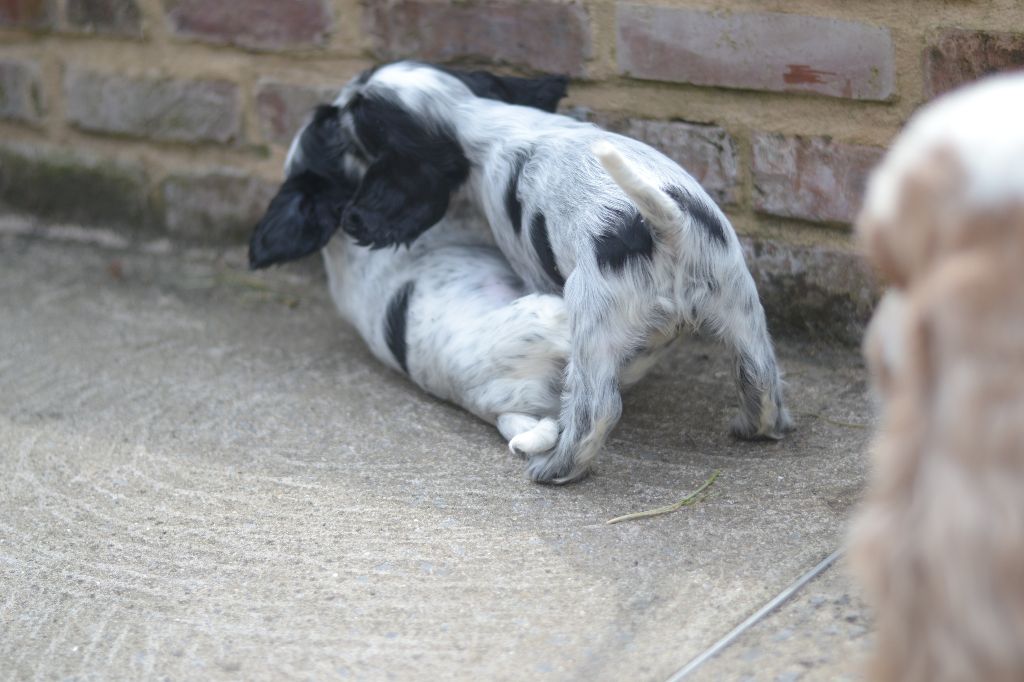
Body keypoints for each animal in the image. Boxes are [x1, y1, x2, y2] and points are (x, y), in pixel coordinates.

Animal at [327, 61, 790, 481]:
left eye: (358, 112)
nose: (339, 98)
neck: (478, 116)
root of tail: (667, 224)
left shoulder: (525, 261)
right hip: (738, 301)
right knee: (760, 377)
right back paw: (755, 427)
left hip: (593, 326)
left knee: (595, 413)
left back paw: (555, 469)